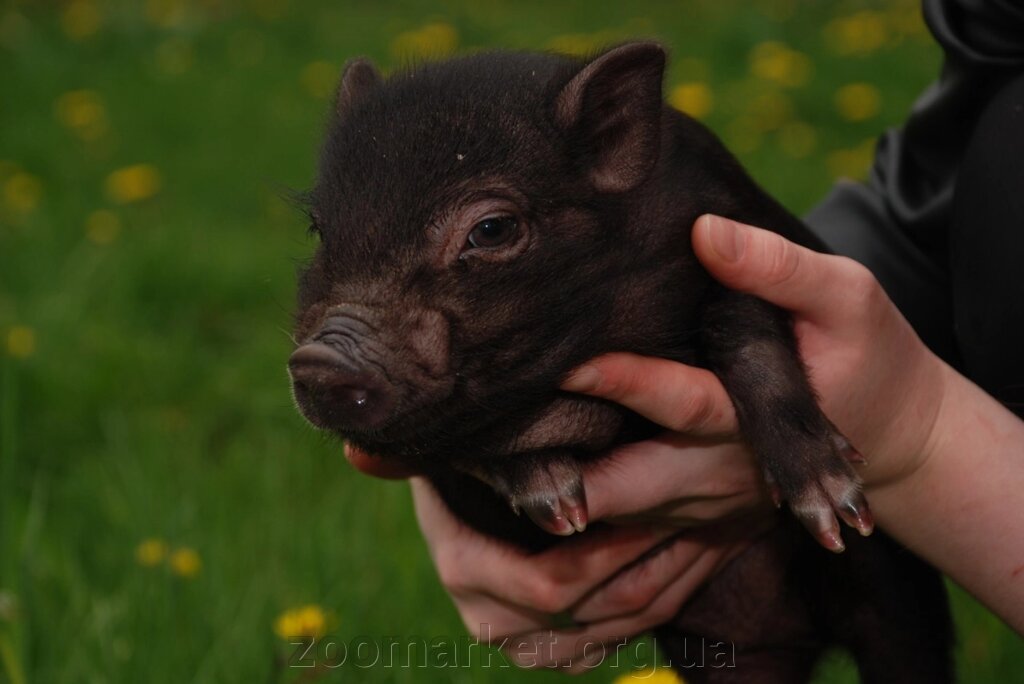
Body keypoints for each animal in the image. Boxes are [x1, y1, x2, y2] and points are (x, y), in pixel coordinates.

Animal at [286, 44, 950, 684]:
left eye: (491, 228)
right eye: (319, 229)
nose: (319, 357)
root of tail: (802, 637)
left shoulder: (734, 239)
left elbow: (747, 331)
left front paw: (833, 504)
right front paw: (556, 504)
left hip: (896, 597)